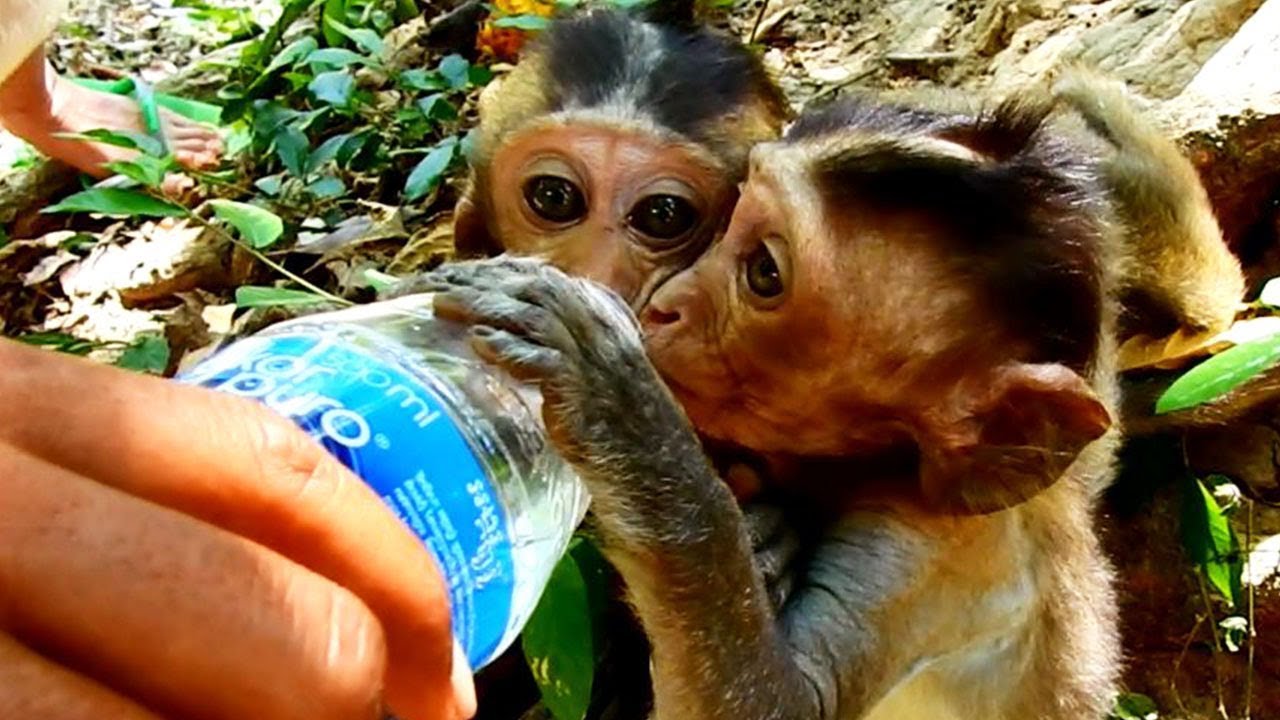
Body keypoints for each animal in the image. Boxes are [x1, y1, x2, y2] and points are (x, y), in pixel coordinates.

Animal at [413, 88, 1125, 720]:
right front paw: (761, 540)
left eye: (763, 273)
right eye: (729, 219)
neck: (873, 462)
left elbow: (778, 704)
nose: (663, 304)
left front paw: (616, 403)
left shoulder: (931, 545)